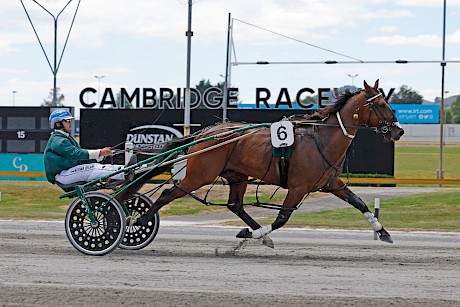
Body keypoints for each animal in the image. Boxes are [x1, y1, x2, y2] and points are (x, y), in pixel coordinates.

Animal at [117, 80, 402, 247]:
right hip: (200, 174)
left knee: (235, 205)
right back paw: (139, 221)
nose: (398, 131)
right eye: (381, 103)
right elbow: (282, 218)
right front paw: (252, 234)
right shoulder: (298, 188)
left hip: (236, 176)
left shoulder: (332, 183)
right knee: (168, 193)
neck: (322, 138)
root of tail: (203, 134)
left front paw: (383, 231)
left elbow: (359, 202)